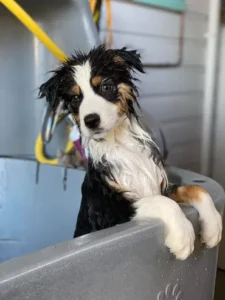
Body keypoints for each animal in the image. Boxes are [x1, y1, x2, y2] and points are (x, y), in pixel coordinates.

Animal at [39, 45, 222, 260]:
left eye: (106, 87)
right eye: (75, 98)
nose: (90, 121)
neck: (120, 144)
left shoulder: (161, 185)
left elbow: (196, 189)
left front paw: (213, 226)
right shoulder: (110, 212)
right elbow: (159, 201)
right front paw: (183, 237)